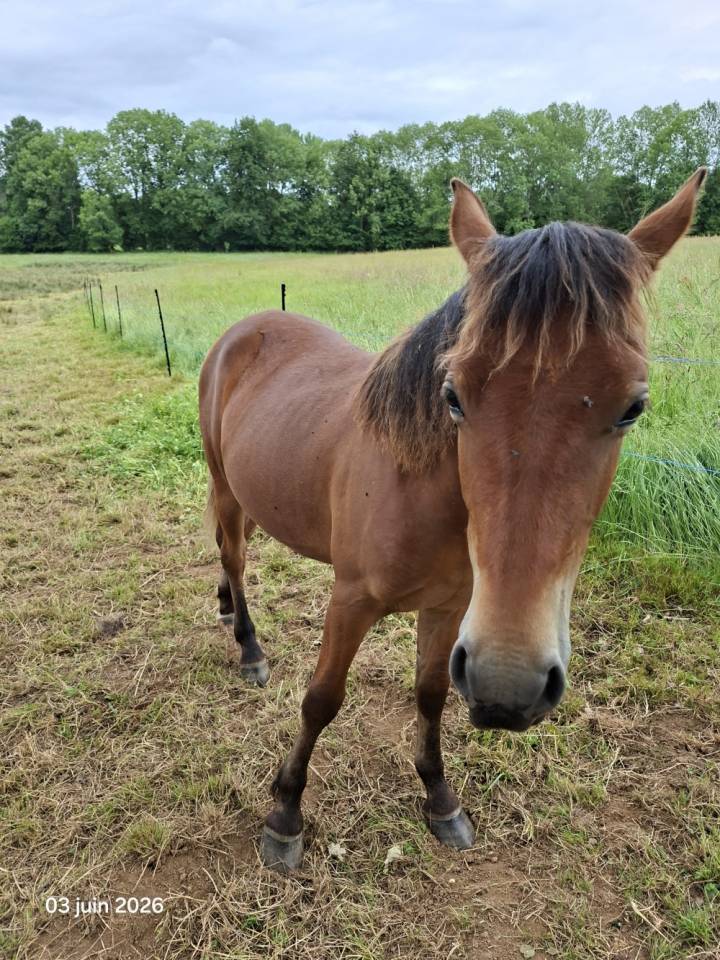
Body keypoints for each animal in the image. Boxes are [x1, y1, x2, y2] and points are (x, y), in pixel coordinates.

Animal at [199, 169, 706, 871]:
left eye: (633, 406)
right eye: (452, 394)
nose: (510, 683)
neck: (421, 490)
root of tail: (245, 329)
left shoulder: (451, 607)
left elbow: (431, 695)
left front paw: (440, 801)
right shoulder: (350, 601)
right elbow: (322, 698)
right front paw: (285, 814)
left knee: (231, 552)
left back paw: (226, 612)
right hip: (225, 485)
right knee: (234, 556)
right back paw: (248, 646)